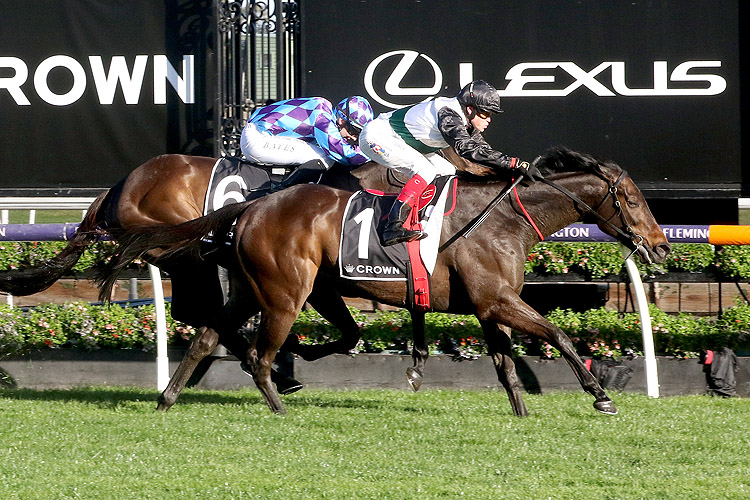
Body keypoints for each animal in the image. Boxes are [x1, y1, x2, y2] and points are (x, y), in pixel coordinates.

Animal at [95, 147, 676, 414]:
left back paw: (168, 398)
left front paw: (522, 413)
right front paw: (600, 397)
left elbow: (508, 367)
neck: (504, 218)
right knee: (258, 353)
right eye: (631, 200)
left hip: (251, 288)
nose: (662, 245)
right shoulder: (498, 299)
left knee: (208, 333)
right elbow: (558, 335)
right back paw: (280, 401)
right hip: (285, 292)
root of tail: (251, 205)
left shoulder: (490, 306)